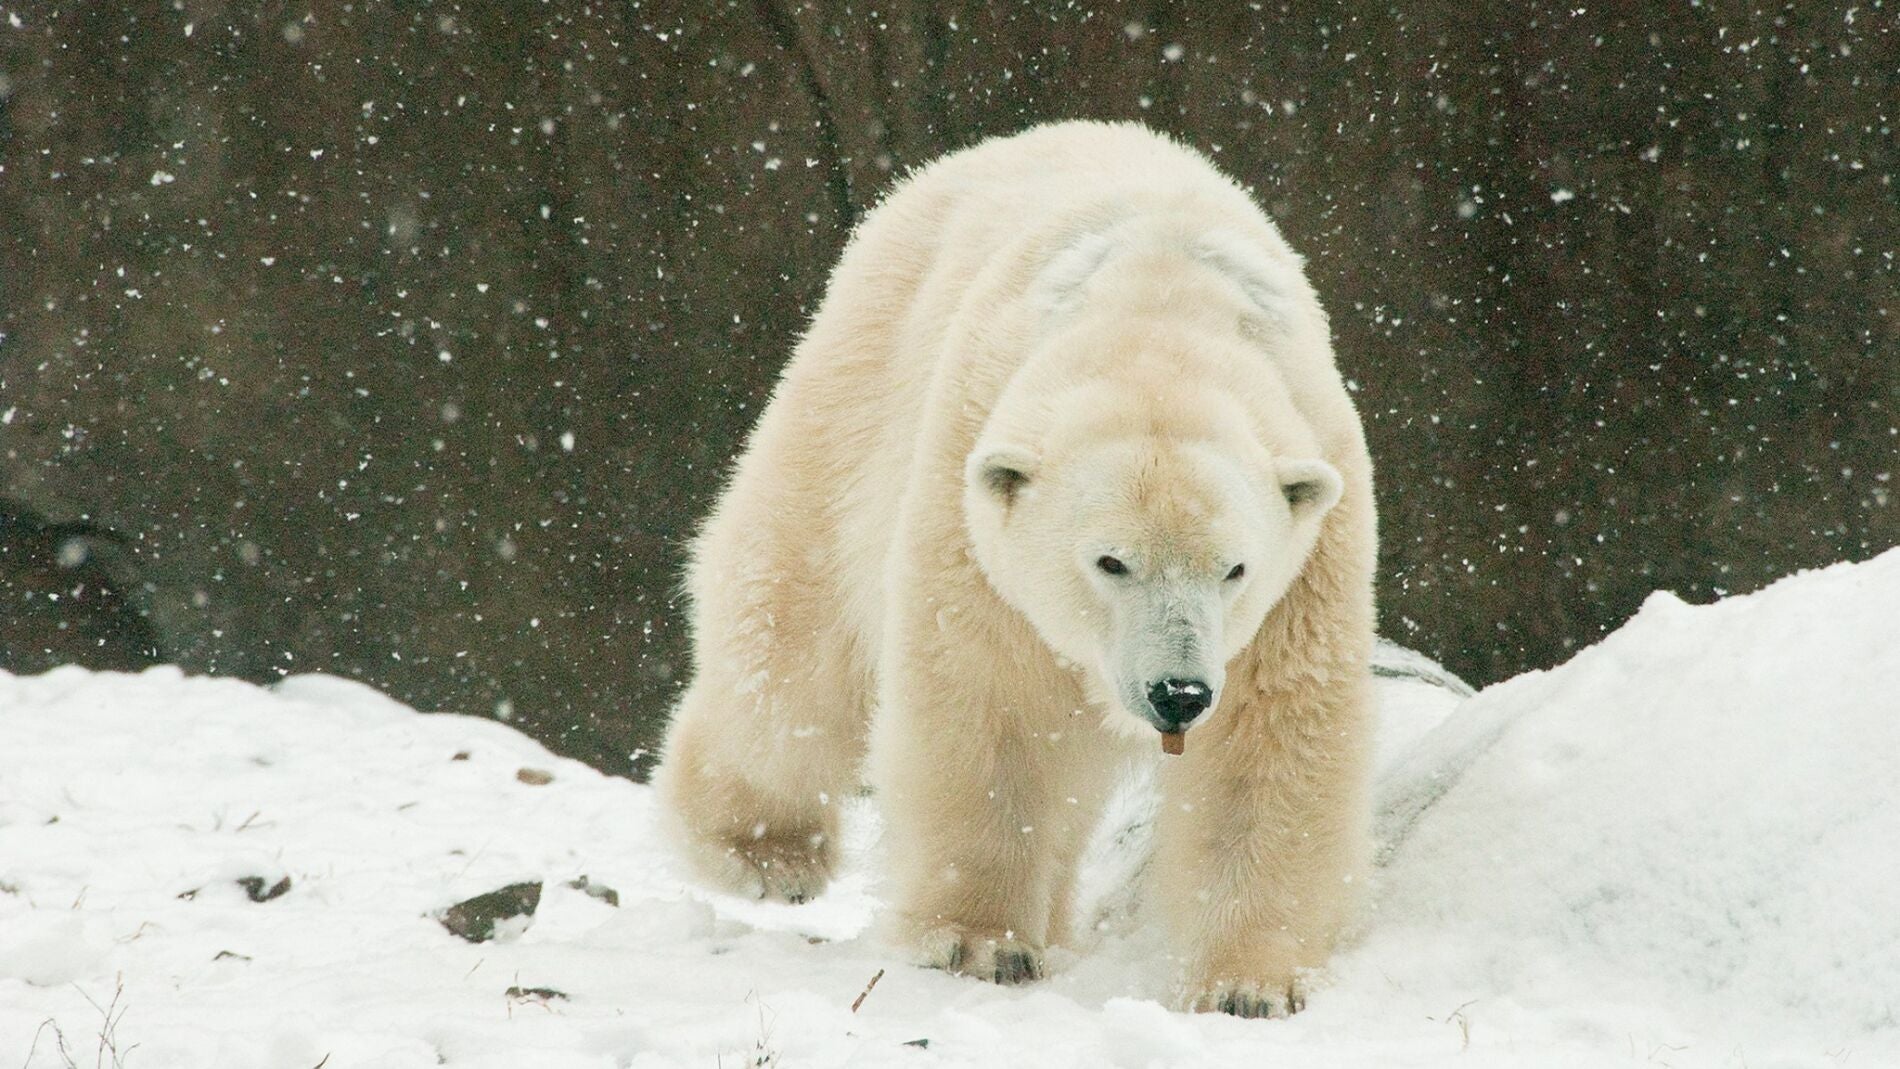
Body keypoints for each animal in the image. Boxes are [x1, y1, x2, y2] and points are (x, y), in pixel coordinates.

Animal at [651, 120, 1377, 1018]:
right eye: (1110, 560)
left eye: (1234, 568)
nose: (1178, 692)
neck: (1161, 315)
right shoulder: (969, 486)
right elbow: (988, 698)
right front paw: (977, 940)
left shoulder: (1310, 549)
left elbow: (1273, 737)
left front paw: (1250, 984)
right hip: (857, 382)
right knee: (791, 641)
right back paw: (763, 849)